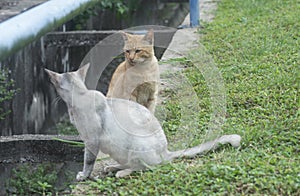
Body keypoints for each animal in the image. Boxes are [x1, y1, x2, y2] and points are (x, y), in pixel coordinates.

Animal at [45, 64, 241, 181]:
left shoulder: (91, 141)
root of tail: (166, 151)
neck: (80, 96)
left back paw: (121, 173)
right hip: (119, 150)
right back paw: (112, 167)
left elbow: (88, 162)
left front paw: (83, 176)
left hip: (136, 146)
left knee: (144, 167)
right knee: (131, 164)